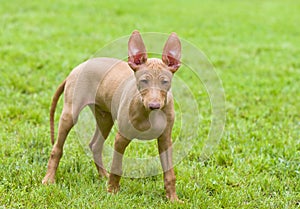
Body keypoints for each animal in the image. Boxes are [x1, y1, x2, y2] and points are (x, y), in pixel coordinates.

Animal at [42, 30, 182, 202]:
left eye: (165, 82)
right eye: (144, 81)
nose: (154, 105)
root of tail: (77, 68)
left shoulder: (165, 139)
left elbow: (170, 174)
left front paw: (173, 198)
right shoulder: (121, 138)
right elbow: (117, 166)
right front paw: (112, 192)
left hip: (105, 118)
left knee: (95, 145)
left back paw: (103, 175)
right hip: (70, 114)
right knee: (57, 148)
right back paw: (49, 179)